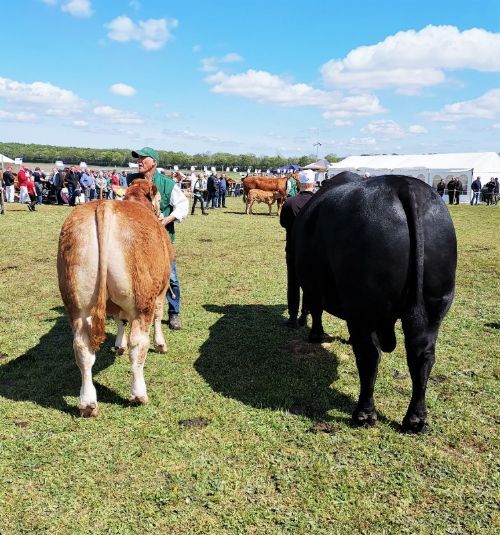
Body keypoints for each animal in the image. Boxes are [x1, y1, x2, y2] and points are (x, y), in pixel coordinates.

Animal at [57, 180, 172, 418]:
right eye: (158, 199)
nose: (161, 214)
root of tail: (105, 206)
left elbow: (120, 320)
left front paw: (119, 346)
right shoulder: (161, 291)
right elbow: (158, 316)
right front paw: (160, 344)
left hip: (76, 303)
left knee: (82, 347)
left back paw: (87, 403)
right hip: (142, 300)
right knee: (138, 344)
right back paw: (138, 395)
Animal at [292, 174, 458, 434]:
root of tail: (403, 184)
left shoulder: (313, 284)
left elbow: (316, 308)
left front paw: (316, 335)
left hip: (364, 308)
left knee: (369, 355)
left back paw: (364, 413)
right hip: (434, 305)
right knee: (422, 356)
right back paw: (415, 419)